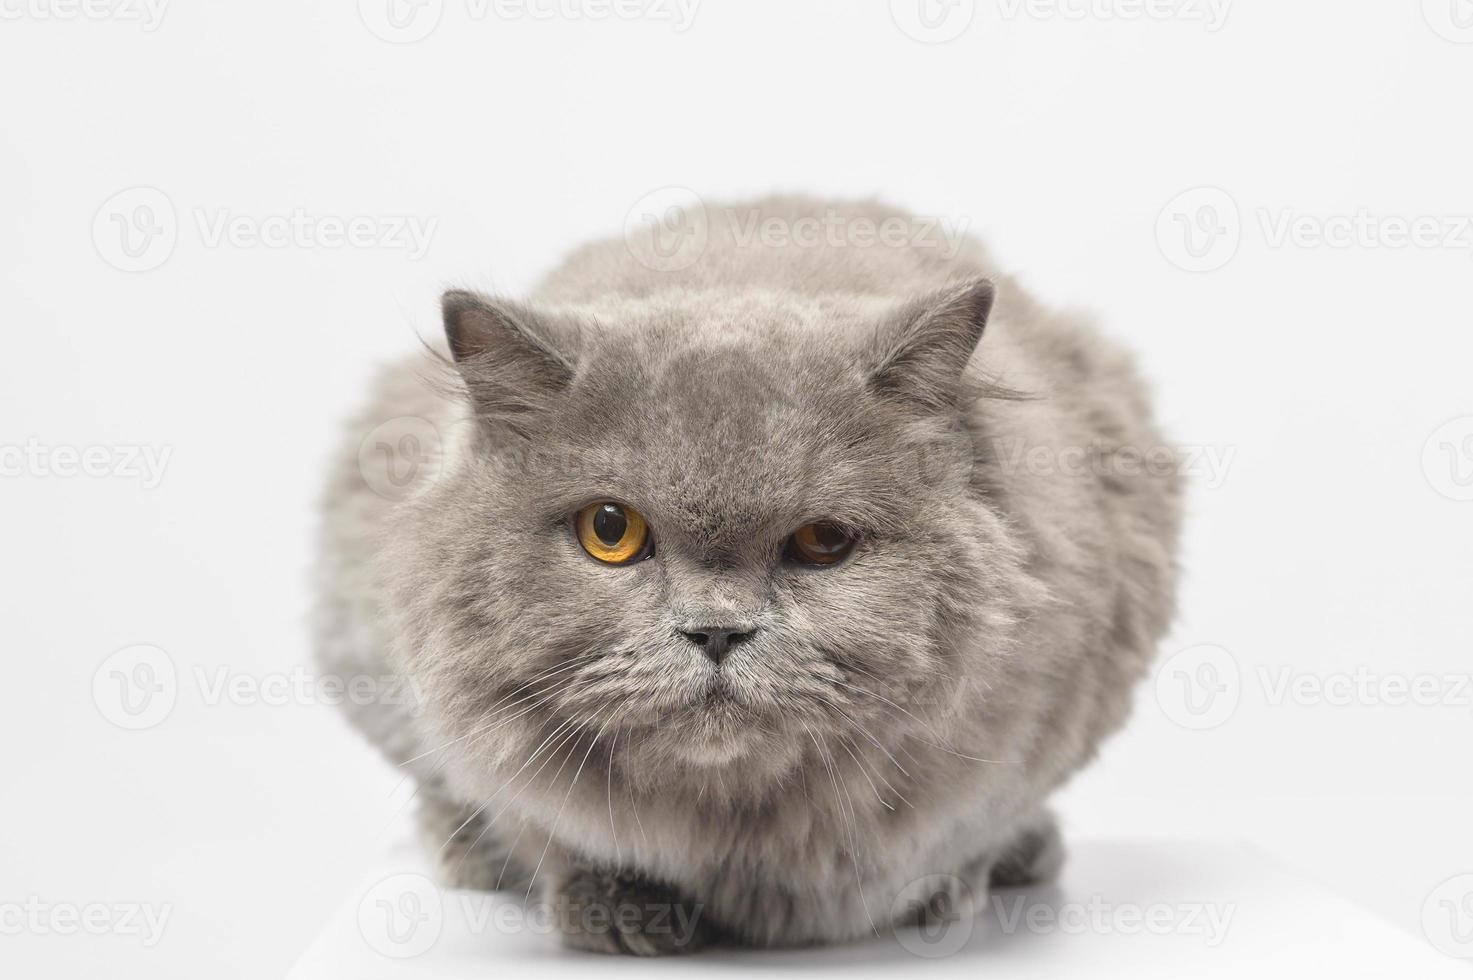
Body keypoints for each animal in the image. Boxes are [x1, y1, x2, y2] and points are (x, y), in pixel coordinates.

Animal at [313, 194, 1184, 949]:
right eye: (609, 531)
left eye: (823, 540)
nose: (716, 631)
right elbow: (546, 826)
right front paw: (617, 907)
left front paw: (941, 889)